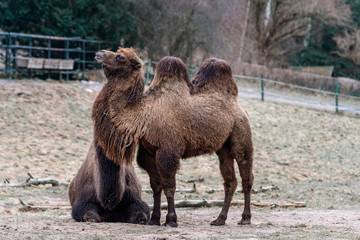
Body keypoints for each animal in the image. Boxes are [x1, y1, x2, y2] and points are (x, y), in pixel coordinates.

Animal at [94, 47, 255, 228]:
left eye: (120, 57)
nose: (99, 53)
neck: (143, 115)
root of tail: (240, 107)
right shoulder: (149, 152)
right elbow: (156, 186)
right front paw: (154, 219)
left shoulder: (168, 150)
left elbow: (169, 186)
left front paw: (171, 220)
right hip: (223, 148)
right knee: (230, 181)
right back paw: (219, 219)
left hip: (241, 133)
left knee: (246, 176)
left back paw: (245, 218)